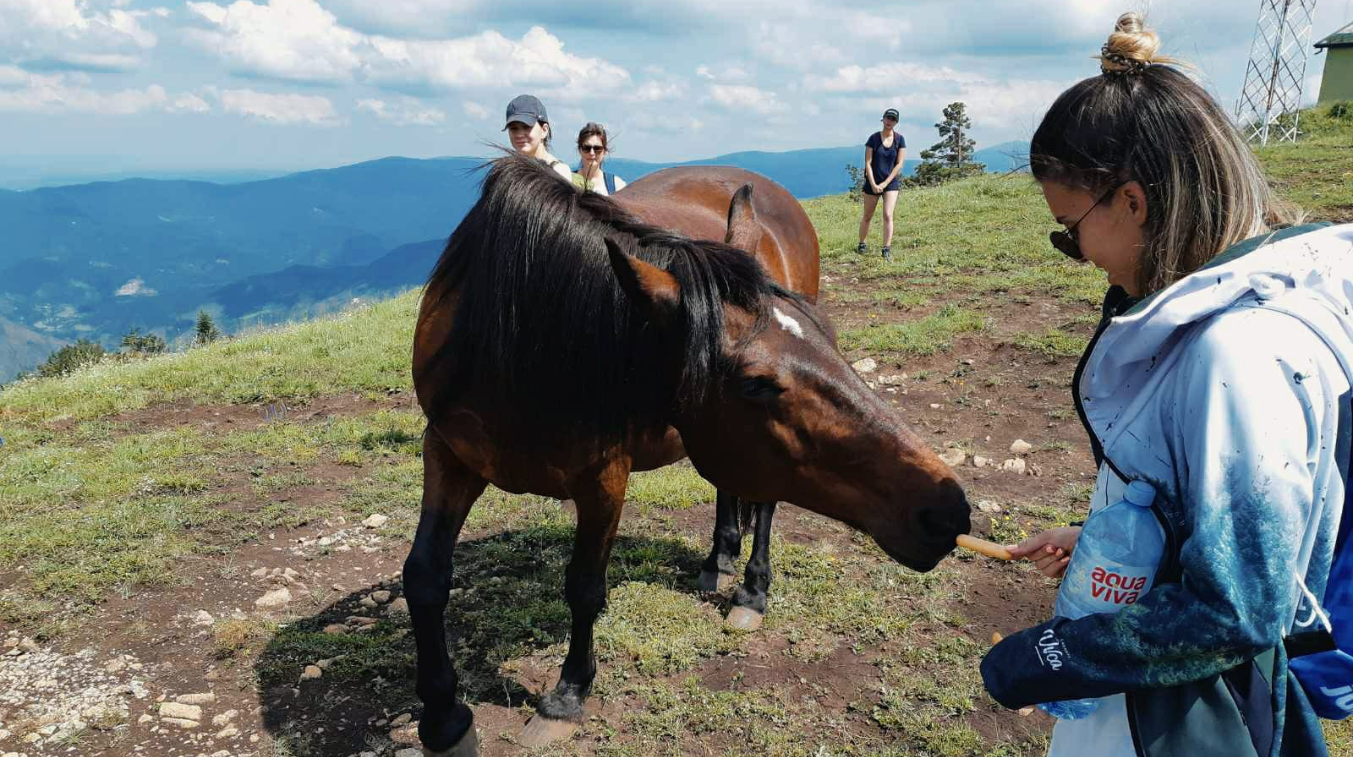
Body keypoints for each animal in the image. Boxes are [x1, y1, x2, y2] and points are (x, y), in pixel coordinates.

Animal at [405, 152, 968, 752]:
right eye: (756, 383)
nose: (947, 510)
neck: (523, 341)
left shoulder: (604, 476)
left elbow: (584, 586)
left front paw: (566, 695)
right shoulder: (447, 452)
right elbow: (424, 577)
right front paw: (443, 717)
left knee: (765, 502)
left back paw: (750, 591)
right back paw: (718, 557)